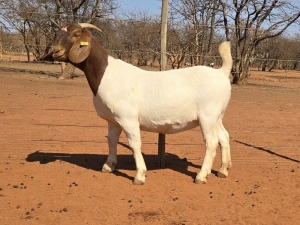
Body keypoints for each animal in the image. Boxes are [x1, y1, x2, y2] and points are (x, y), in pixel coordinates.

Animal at [44, 23, 232, 185]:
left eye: (75, 34)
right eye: (56, 33)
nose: (55, 51)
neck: (107, 74)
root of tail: (221, 72)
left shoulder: (128, 118)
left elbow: (135, 144)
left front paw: (140, 175)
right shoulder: (113, 120)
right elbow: (112, 140)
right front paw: (108, 166)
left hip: (207, 116)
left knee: (211, 142)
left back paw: (201, 175)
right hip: (218, 116)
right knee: (224, 136)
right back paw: (223, 170)